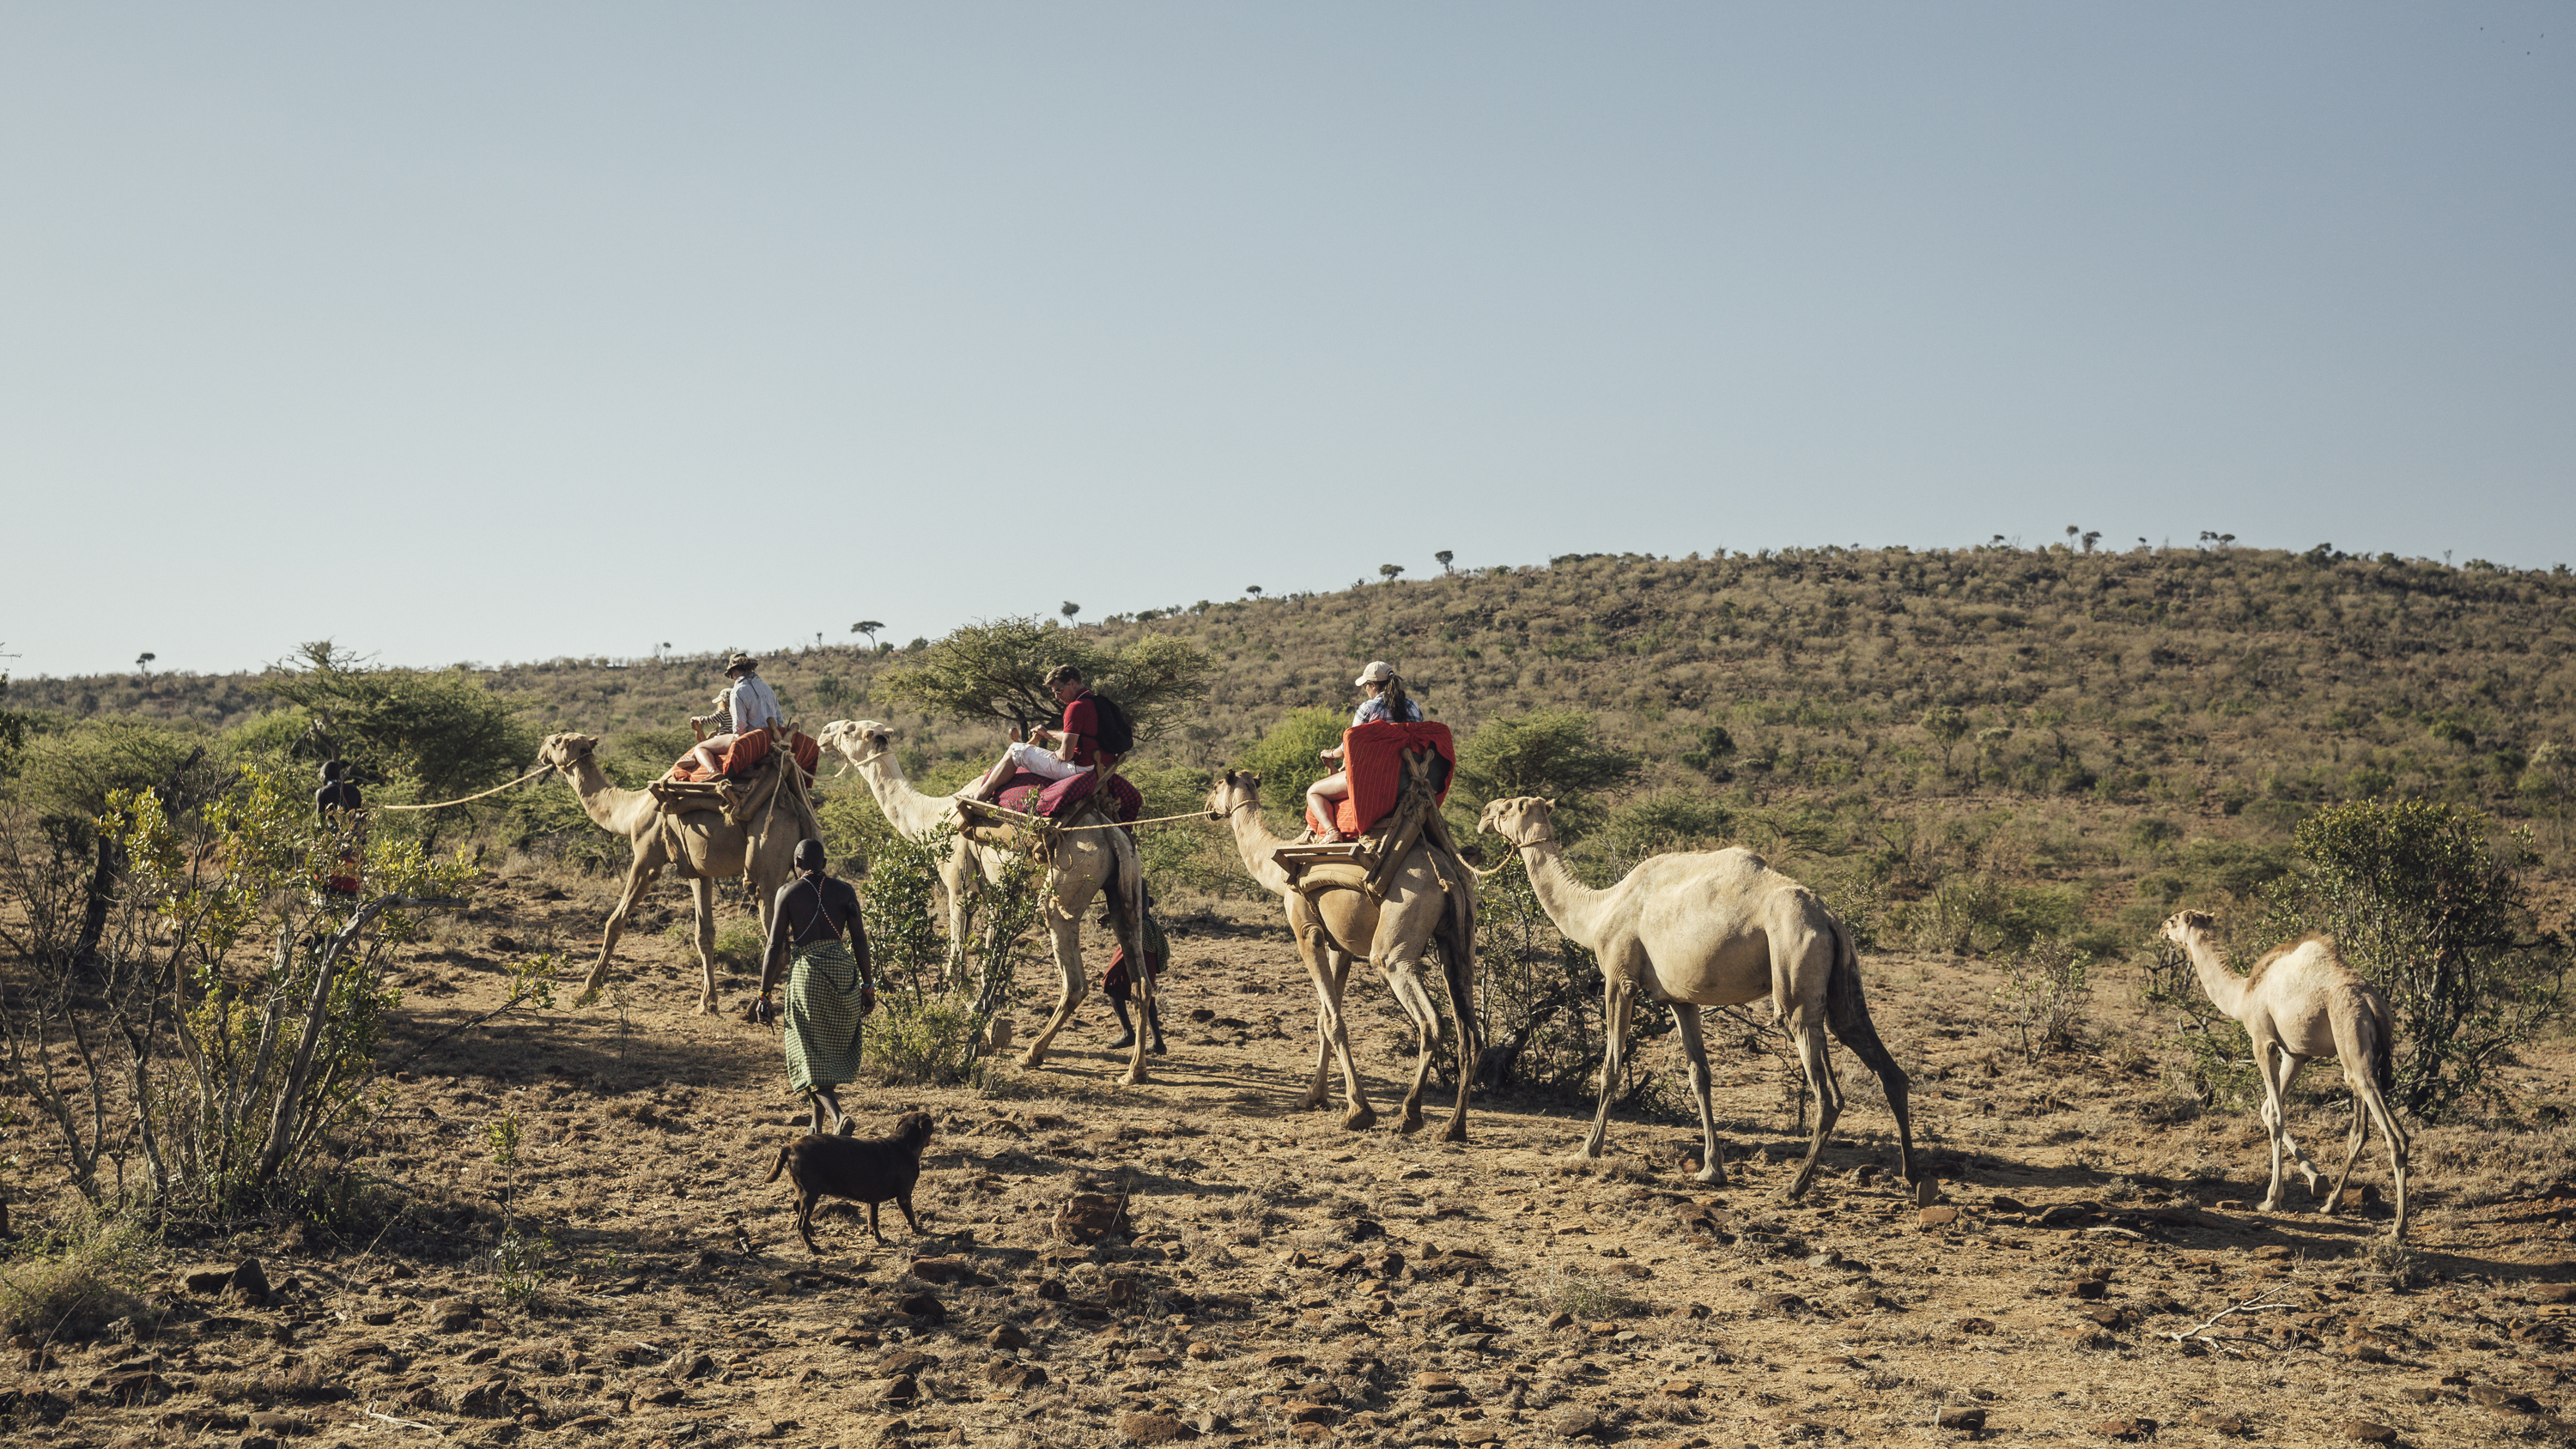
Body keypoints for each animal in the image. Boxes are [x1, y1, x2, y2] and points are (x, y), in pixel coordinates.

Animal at [538, 732, 810, 1015]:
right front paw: (707, 1003)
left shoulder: (646, 857)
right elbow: (704, 934)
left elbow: (616, 921)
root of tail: (794, 807)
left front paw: (586, 990)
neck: (632, 810)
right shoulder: (699, 870)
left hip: (767, 847)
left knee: (771, 921)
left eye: (557, 741)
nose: (542, 749)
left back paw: (753, 1010)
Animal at [818, 719, 1159, 1084]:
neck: (931, 817)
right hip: (1126, 889)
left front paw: (987, 1031)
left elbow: (956, 968)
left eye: (849, 729)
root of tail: (1112, 833)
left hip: (1066, 887)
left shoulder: (959, 885)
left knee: (1075, 980)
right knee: (1140, 977)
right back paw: (1135, 1071)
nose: (824, 733)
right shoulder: (997, 896)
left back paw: (1032, 1054)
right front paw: (984, 1028)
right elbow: (986, 968)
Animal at [1205, 770, 1478, 1140]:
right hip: (1459, 942)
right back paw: (1452, 1127)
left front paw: (1358, 1111)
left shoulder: (1307, 932)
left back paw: (1409, 1115)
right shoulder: (1340, 946)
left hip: (1396, 940)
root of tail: (1446, 875)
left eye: (1217, 785)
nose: (1208, 808)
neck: (1279, 870)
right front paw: (1313, 1097)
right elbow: (1323, 1018)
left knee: (1429, 1019)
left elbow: (1334, 1021)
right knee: (1471, 1030)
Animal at [1478, 797, 1921, 1200]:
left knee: (1825, 1087)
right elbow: (1699, 1075)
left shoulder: (1619, 978)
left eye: (1510, 807)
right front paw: (1712, 1169)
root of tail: (1829, 918)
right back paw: (1914, 1177)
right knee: (1876, 1055)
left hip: (1795, 966)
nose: (1484, 813)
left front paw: (1587, 1151)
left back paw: (1795, 1185)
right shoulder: (1681, 997)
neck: (1599, 912)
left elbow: (1611, 1068)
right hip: (1844, 979)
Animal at [2158, 910, 2410, 1239]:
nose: (2161, 929)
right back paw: (2331, 1204)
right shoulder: (2296, 1053)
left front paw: (2271, 1199)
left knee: (2395, 1135)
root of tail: (2373, 1004)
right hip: (2359, 1054)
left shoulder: (2263, 1040)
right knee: (2360, 1130)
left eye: (2175, 919)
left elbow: (2276, 1116)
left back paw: (2398, 1228)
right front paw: (2317, 1180)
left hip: (2352, 1039)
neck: (2243, 995)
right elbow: (2267, 1109)